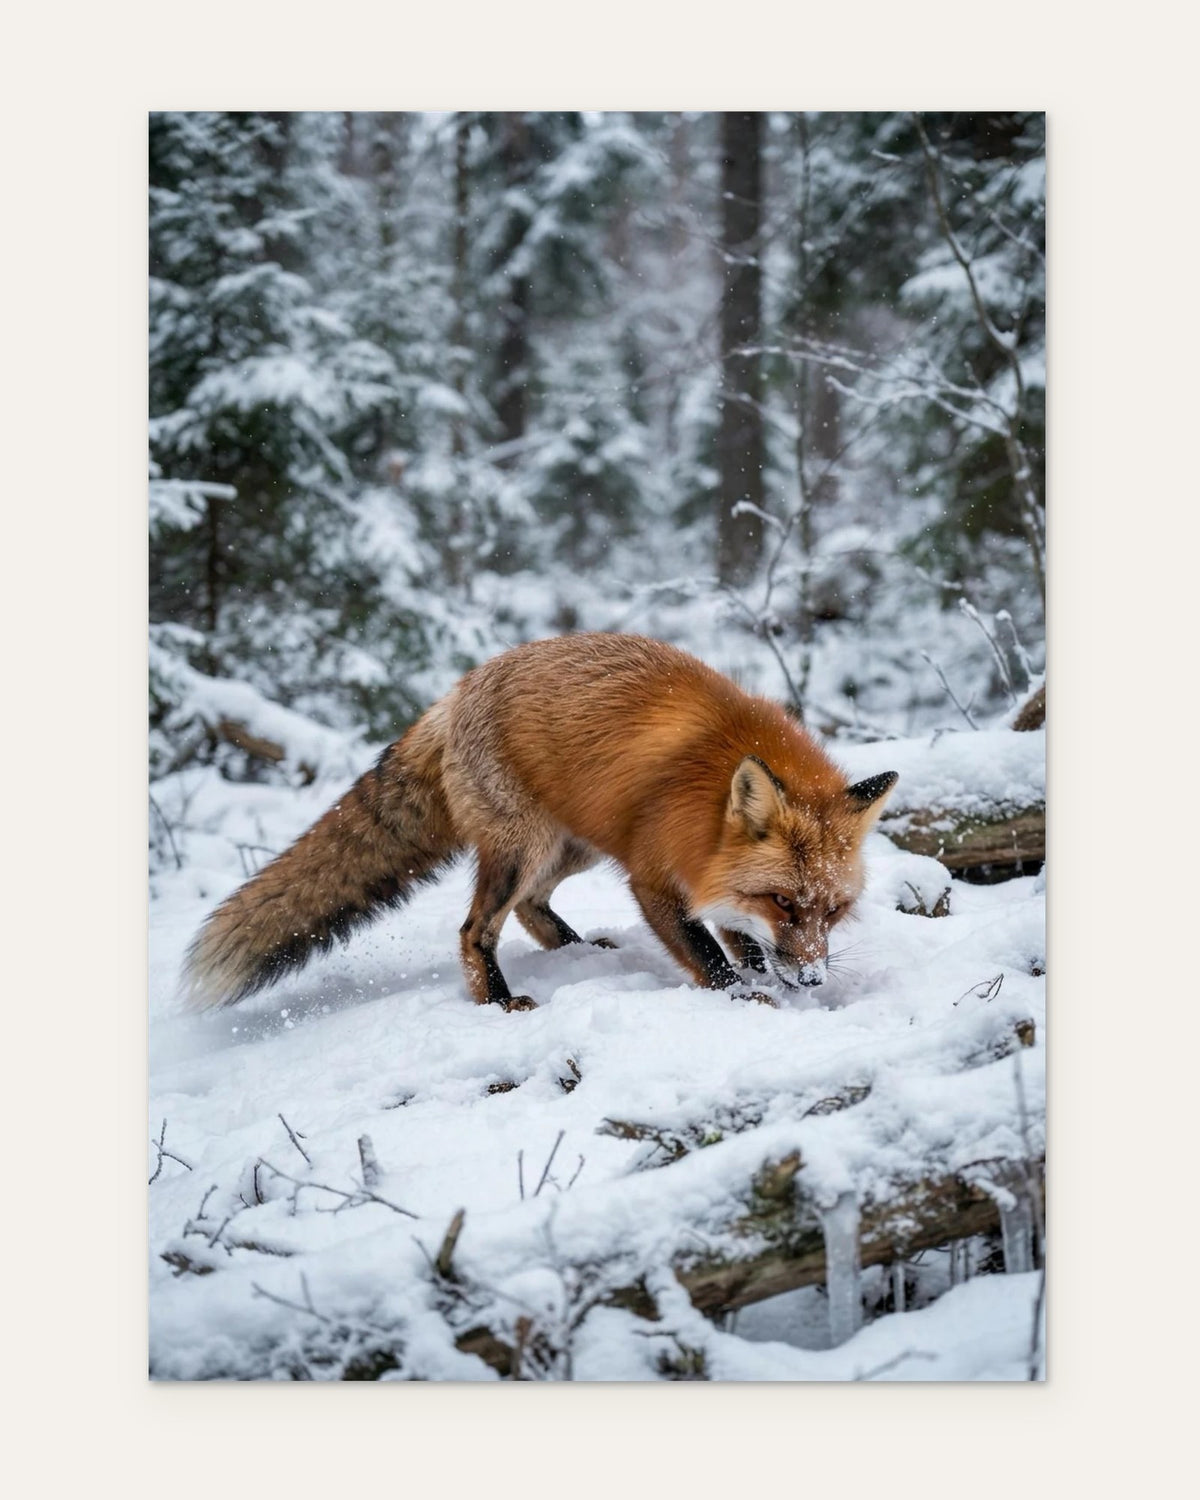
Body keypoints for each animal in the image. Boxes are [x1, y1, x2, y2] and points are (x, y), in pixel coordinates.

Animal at [182, 633, 898, 1013]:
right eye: (783, 901)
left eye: (832, 910)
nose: (813, 979)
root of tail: (454, 694)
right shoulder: (653, 877)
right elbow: (708, 957)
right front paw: (746, 997)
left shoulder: (709, 876)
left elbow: (739, 939)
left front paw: (766, 979)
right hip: (526, 845)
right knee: (476, 929)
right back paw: (499, 1002)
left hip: (574, 843)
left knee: (530, 907)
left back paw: (580, 952)